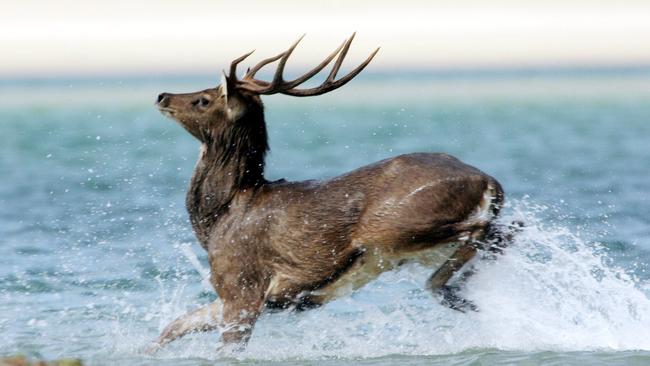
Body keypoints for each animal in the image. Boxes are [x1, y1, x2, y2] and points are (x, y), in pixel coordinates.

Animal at [149, 34, 508, 354]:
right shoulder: (232, 294)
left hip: (394, 226)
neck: (219, 217)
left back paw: (450, 293)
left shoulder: (242, 282)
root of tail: (488, 181)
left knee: (478, 231)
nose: (162, 96)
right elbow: (171, 328)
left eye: (204, 99)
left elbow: (227, 349)